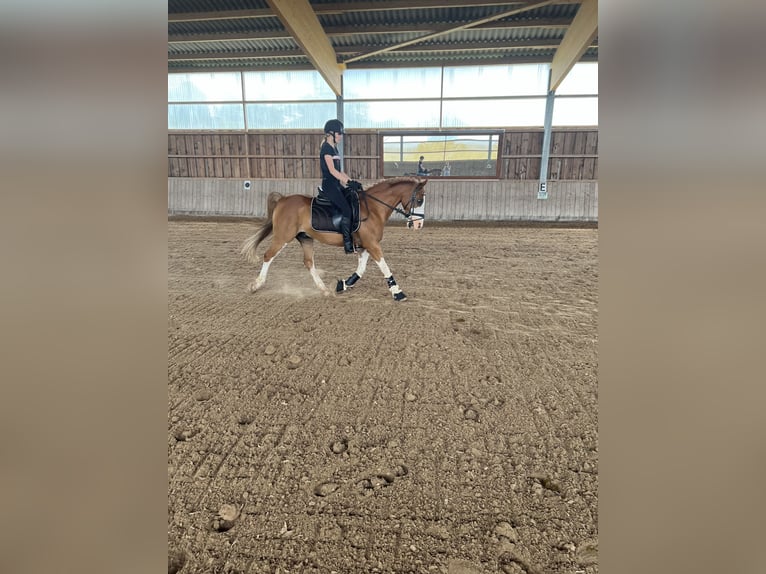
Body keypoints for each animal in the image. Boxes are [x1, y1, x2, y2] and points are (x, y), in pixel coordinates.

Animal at [243, 177, 428, 302]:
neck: (373, 208)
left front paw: (343, 284)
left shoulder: (365, 246)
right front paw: (398, 293)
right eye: (419, 200)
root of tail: (283, 199)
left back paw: (324, 290)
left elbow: (361, 270)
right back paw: (256, 285)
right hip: (283, 237)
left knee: (308, 262)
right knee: (268, 256)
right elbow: (384, 267)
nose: (419, 224)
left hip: (306, 238)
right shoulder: (372, 244)